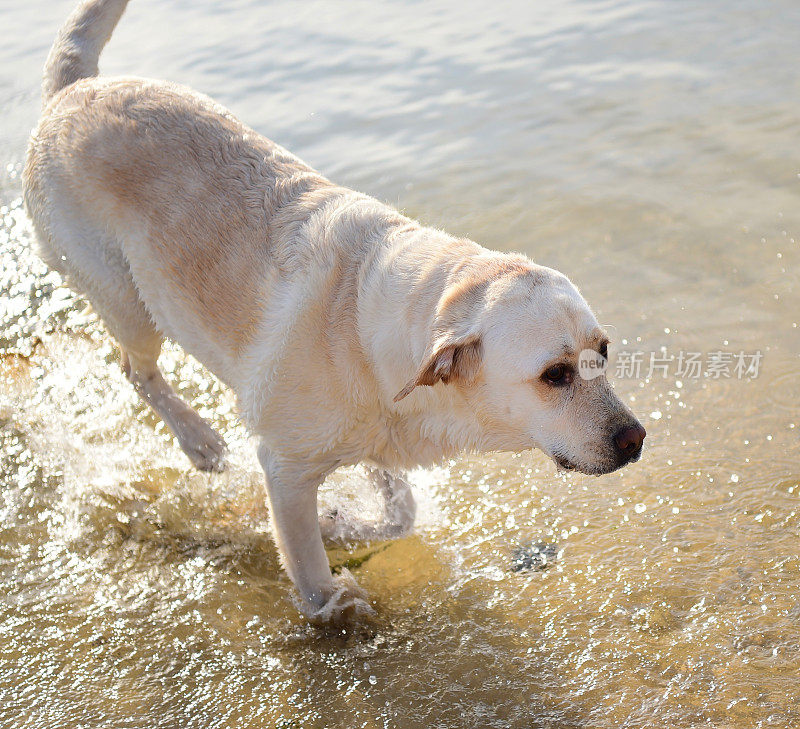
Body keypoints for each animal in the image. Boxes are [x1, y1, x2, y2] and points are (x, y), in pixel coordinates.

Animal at [23, 1, 644, 624]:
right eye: (554, 375)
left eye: (603, 353)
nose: (636, 439)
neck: (361, 325)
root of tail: (72, 89)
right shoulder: (284, 465)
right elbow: (310, 570)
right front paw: (334, 607)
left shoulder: (378, 436)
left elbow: (400, 512)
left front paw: (341, 521)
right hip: (121, 295)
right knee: (136, 368)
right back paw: (200, 440)